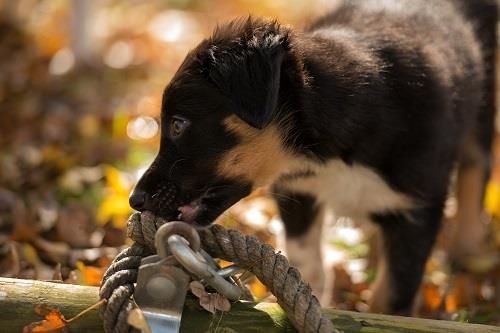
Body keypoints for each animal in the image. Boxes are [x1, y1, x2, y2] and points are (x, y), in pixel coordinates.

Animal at [129, 0, 496, 314]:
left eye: (178, 124)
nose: (135, 200)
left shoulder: (419, 208)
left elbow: (392, 295)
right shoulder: (298, 191)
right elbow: (308, 268)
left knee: (476, 169)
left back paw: (468, 252)